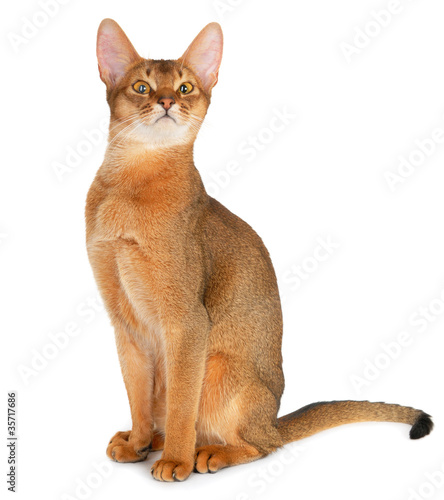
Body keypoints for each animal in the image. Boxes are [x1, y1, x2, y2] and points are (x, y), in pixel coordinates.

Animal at [86, 18, 434, 480]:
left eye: (185, 87)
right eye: (141, 87)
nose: (165, 102)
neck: (130, 186)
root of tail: (273, 416)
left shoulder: (187, 322)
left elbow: (181, 404)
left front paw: (175, 461)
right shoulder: (126, 322)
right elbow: (137, 394)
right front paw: (139, 441)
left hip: (220, 370)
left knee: (263, 444)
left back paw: (204, 454)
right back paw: (152, 442)